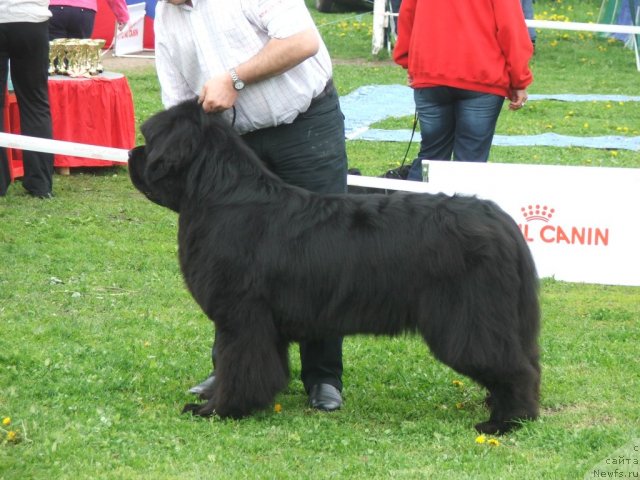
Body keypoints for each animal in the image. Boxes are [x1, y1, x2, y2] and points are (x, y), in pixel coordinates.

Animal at [129, 98, 540, 436]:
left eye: (150, 139)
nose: (132, 153)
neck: (218, 196)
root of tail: (500, 221)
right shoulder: (263, 325)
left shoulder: (242, 318)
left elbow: (238, 367)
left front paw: (217, 409)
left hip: (469, 321)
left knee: (514, 369)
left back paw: (504, 422)